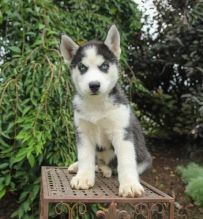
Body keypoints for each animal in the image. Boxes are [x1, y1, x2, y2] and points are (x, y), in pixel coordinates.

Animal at [59, 24, 151, 198]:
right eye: (82, 67)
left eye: (104, 66)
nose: (94, 85)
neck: (97, 105)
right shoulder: (83, 132)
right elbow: (85, 156)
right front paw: (83, 177)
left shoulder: (121, 132)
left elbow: (126, 161)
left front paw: (129, 185)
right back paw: (82, 167)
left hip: (144, 158)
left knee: (116, 167)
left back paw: (106, 170)